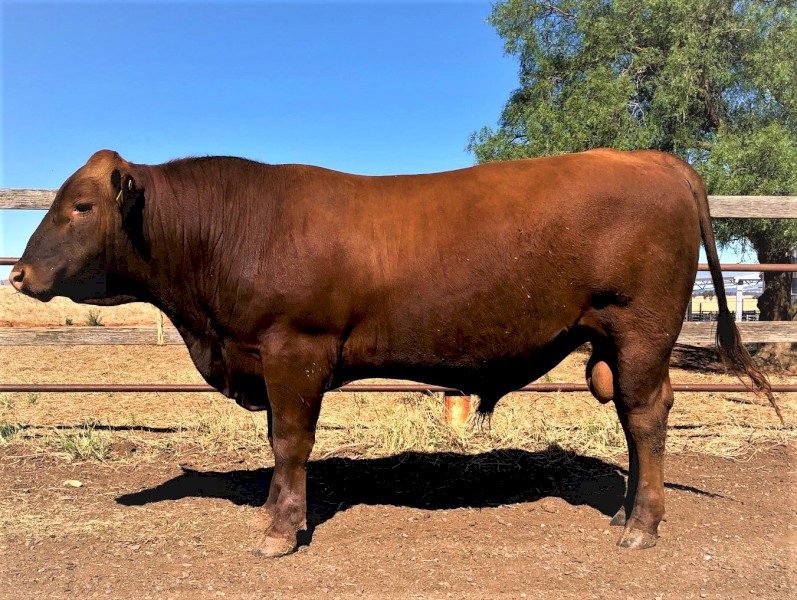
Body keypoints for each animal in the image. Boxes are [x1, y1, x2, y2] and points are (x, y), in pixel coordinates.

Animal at [11, 148, 776, 557]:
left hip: (640, 329)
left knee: (646, 415)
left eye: (81, 206)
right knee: (632, 419)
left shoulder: (295, 351)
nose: (17, 274)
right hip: (614, 341)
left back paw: (640, 527)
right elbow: (279, 440)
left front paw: (278, 531)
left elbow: (290, 442)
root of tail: (653, 158)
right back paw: (624, 512)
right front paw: (282, 518)